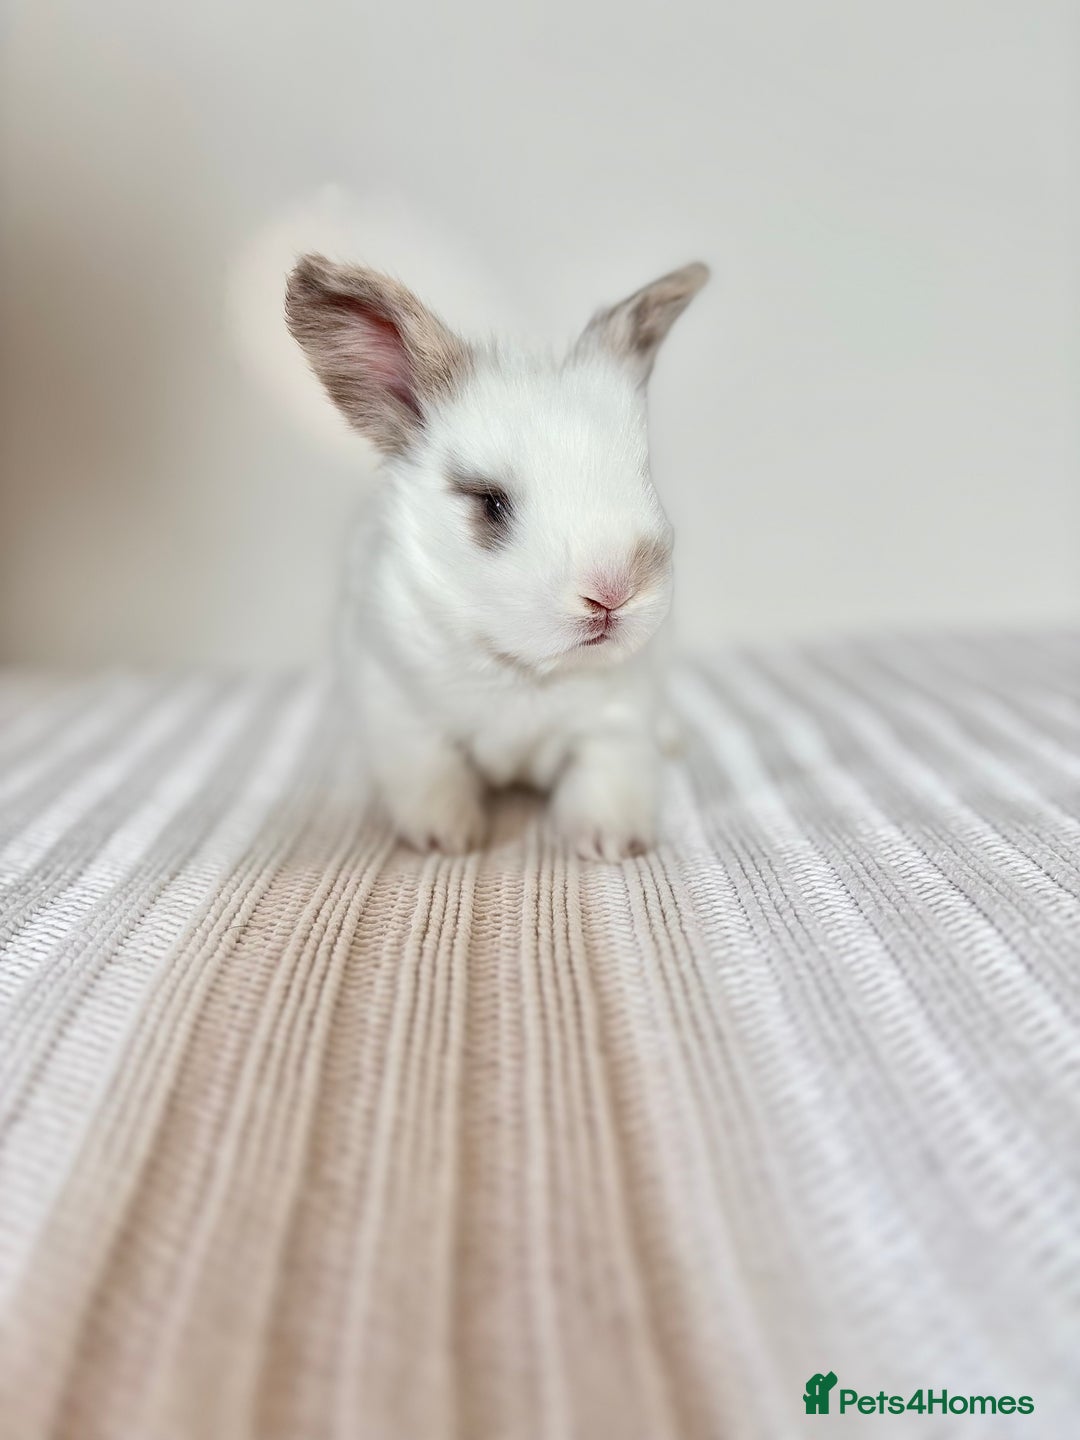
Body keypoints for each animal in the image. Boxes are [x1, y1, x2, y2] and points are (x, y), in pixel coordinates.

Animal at [285, 255, 708, 860]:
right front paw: (446, 839)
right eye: (491, 503)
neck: (522, 670)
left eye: (645, 477)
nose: (613, 593)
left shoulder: (618, 721)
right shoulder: (402, 712)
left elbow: (606, 777)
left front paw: (611, 842)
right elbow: (431, 776)